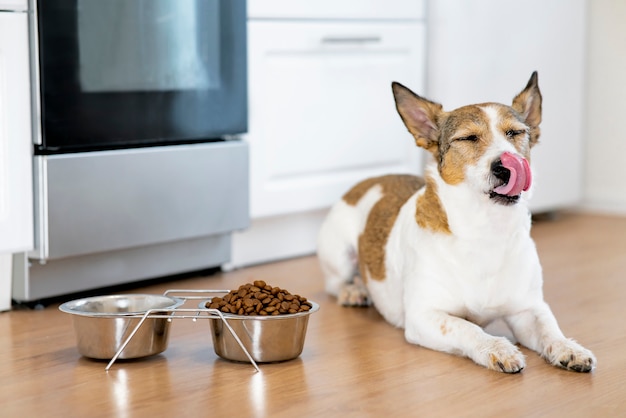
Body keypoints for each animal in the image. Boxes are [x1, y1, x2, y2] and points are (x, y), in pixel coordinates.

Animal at [316, 73, 596, 374]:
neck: (485, 230)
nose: (505, 166)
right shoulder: (424, 316)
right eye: (468, 138)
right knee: (334, 283)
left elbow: (549, 328)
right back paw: (353, 291)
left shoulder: (528, 309)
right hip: (340, 256)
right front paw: (497, 348)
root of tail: (371, 179)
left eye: (514, 133)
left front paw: (569, 348)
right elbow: (467, 328)